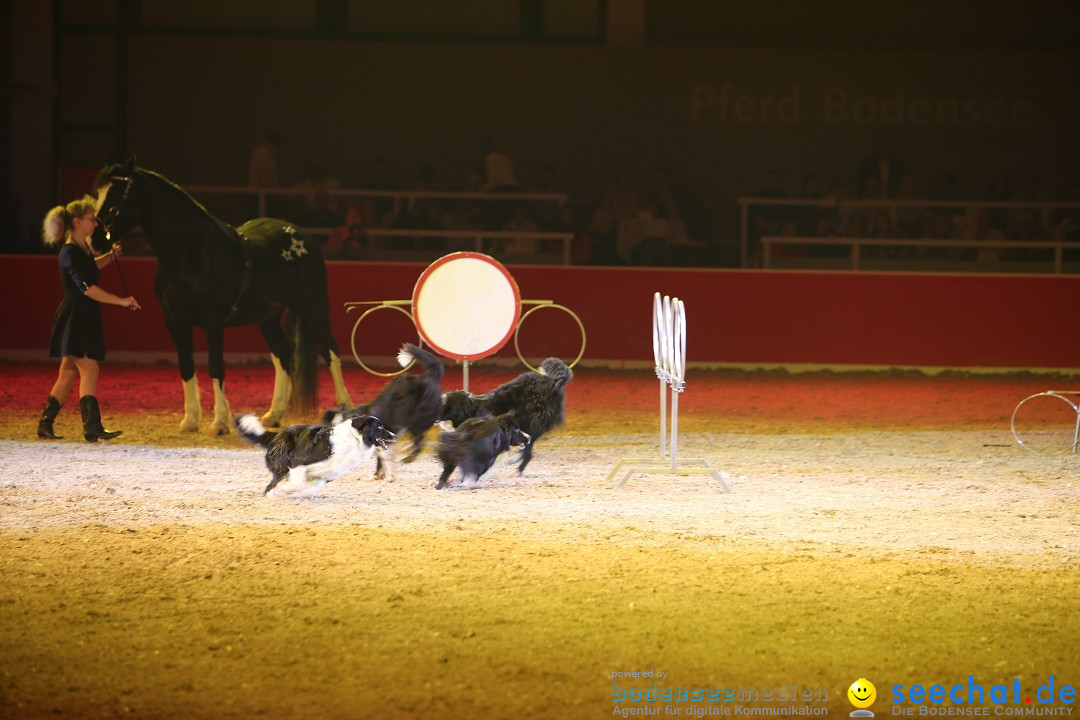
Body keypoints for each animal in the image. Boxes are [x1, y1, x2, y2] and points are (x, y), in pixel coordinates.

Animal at [92, 158, 352, 433]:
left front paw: (219, 423)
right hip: (268, 317)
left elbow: (216, 366)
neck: (191, 254)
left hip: (314, 306)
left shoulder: (212, 320)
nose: (95, 240)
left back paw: (344, 408)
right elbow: (186, 366)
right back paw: (274, 414)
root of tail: (303, 236)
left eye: (118, 196)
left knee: (330, 349)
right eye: (97, 195)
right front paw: (190, 420)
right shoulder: (174, 321)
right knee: (283, 353)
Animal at [236, 414, 397, 498]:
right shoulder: (298, 463)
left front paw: (295, 494)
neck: (355, 440)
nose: (395, 436)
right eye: (379, 427)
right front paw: (285, 490)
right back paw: (271, 495)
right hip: (282, 467)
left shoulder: (325, 476)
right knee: (271, 485)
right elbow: (297, 483)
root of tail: (277, 435)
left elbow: (309, 489)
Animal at [319, 343, 442, 479]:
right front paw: (378, 475)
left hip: (415, 419)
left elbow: (384, 457)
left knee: (420, 440)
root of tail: (428, 377)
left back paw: (408, 455)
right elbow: (381, 458)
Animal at [438, 358, 574, 474]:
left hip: (530, 422)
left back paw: (517, 466)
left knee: (528, 451)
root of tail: (553, 382)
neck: (472, 410)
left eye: (444, 402)